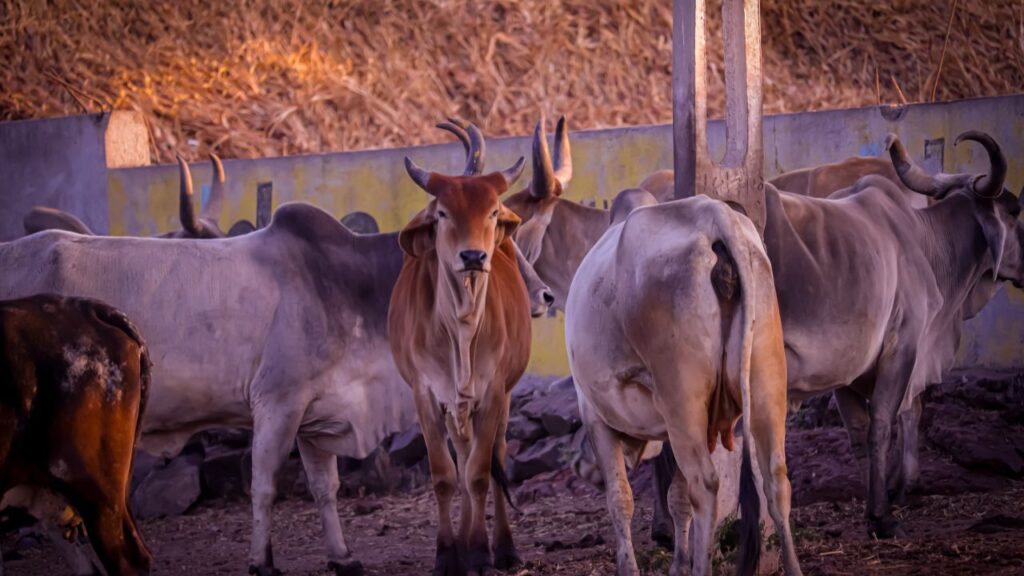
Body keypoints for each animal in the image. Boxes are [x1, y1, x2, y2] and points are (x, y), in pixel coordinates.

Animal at [388, 121, 532, 576]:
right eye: (443, 213)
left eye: (492, 211)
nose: (473, 256)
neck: (462, 327)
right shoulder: (426, 394)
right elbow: (445, 475)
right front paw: (448, 555)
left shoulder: (493, 392)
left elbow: (480, 474)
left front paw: (481, 553)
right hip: (455, 408)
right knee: (463, 459)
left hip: (500, 399)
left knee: (489, 458)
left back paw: (501, 547)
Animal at [565, 196, 802, 576]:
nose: (578, 466)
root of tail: (714, 215)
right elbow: (677, 498)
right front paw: (678, 563)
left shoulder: (596, 417)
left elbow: (620, 498)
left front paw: (630, 567)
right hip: (766, 381)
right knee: (776, 480)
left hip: (682, 399)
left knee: (705, 486)